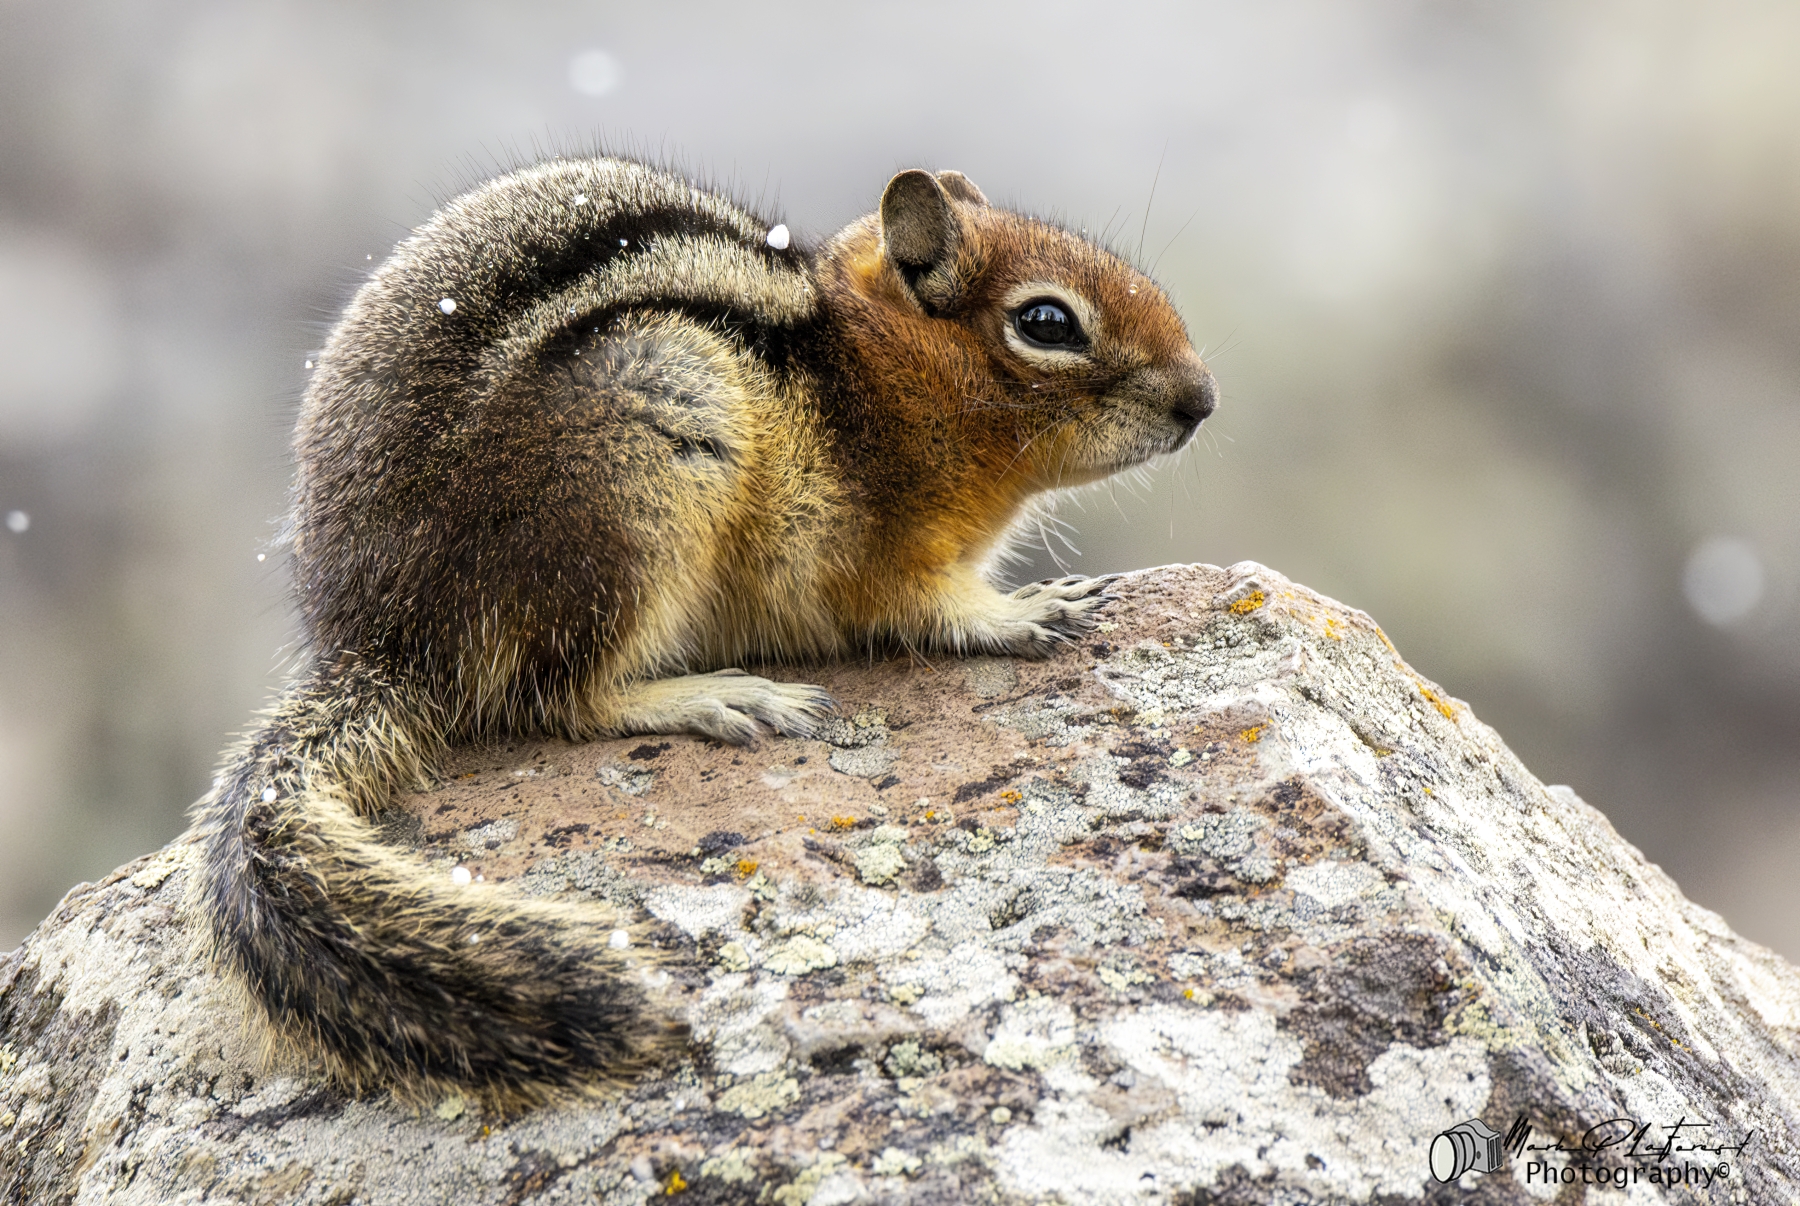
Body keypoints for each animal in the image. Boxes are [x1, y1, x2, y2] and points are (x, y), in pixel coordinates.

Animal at [191, 156, 1216, 1111]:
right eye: (1048, 323)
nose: (1202, 402)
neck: (874, 369)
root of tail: (382, 649)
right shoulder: (889, 553)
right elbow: (932, 609)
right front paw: (1028, 610)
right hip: (643, 458)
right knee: (562, 695)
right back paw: (718, 697)